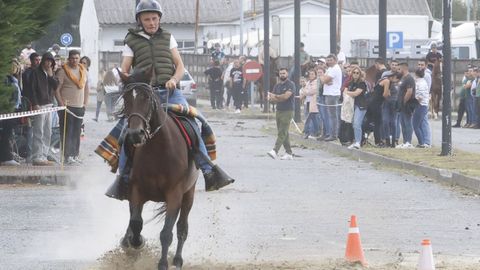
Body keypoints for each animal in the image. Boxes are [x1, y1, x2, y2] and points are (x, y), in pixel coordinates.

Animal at [118, 70, 199, 270]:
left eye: (147, 97)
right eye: (126, 98)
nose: (135, 134)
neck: (159, 150)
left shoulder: (174, 195)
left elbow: (166, 233)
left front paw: (162, 263)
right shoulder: (136, 191)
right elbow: (136, 223)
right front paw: (136, 243)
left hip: (189, 194)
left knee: (182, 228)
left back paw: (177, 260)